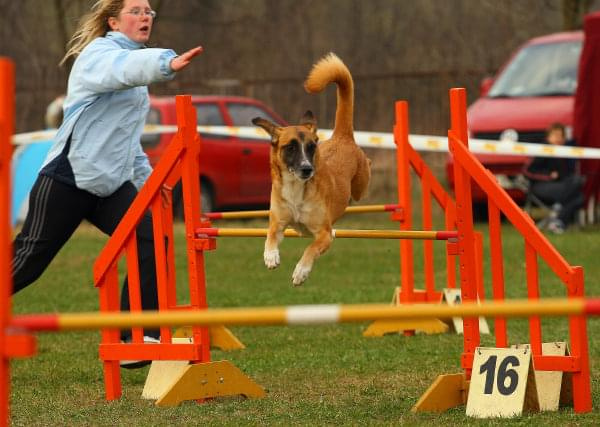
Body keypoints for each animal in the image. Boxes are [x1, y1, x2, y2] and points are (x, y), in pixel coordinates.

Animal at [250, 53, 370, 288]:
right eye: (291, 147)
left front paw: (301, 272)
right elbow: (270, 234)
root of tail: (342, 137)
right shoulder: (279, 221)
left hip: (360, 187)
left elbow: (311, 248)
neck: (296, 188)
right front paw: (271, 256)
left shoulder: (323, 234)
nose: (307, 169)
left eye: (311, 147)